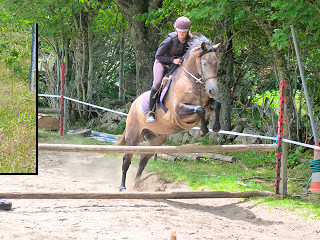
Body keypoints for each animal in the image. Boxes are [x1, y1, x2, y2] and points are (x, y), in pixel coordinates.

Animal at [116, 34, 221, 191]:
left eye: (216, 62)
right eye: (204, 63)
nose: (212, 90)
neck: (192, 82)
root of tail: (134, 104)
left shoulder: (208, 105)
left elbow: (216, 105)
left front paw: (216, 127)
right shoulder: (179, 111)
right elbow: (199, 109)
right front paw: (201, 132)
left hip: (156, 139)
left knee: (143, 158)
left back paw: (138, 184)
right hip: (133, 136)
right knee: (126, 159)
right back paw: (123, 187)